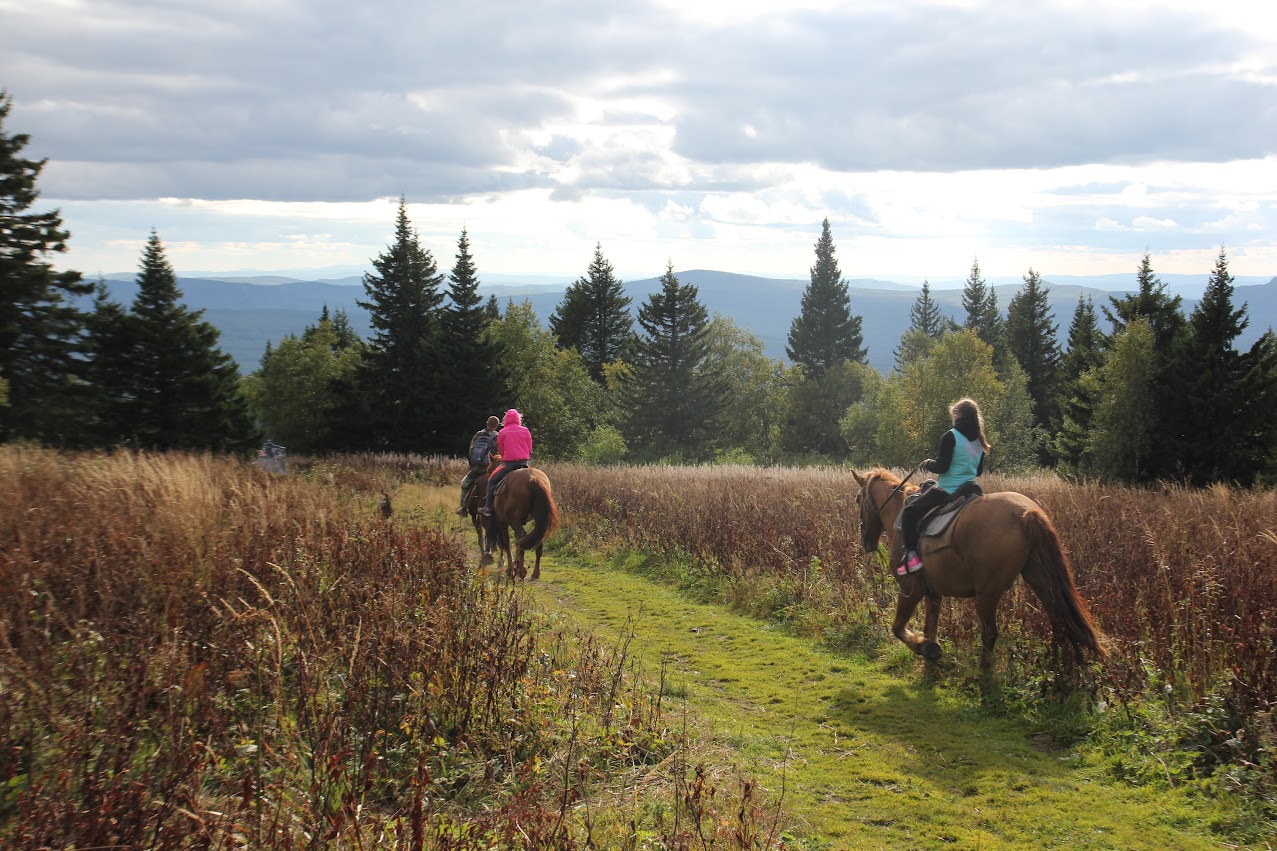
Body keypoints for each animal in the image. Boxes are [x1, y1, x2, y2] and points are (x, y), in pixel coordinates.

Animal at [853, 465, 1103, 669]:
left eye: (857, 499)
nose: (866, 541)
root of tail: (1027, 514)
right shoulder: (933, 592)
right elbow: (930, 626)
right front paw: (930, 656)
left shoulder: (910, 589)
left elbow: (898, 628)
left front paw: (925, 648)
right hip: (1040, 581)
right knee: (1061, 621)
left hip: (987, 594)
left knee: (990, 633)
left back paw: (982, 674)